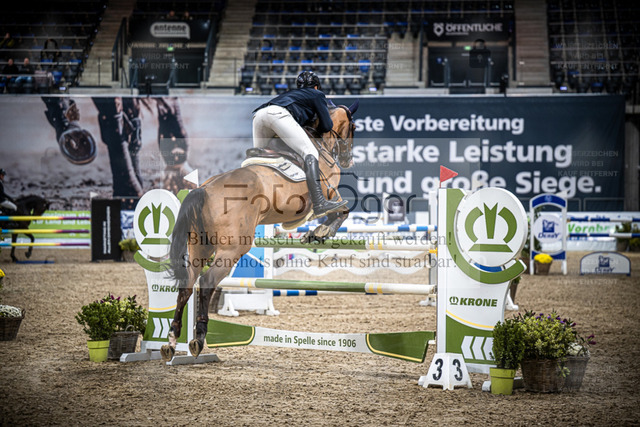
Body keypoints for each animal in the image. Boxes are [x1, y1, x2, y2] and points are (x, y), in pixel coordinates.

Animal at [160, 102, 358, 360]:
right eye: (353, 128)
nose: (347, 161)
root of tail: (203, 189)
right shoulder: (330, 191)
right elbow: (341, 211)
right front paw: (321, 232)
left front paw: (317, 232)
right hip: (232, 249)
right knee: (207, 281)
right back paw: (198, 339)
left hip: (199, 247)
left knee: (187, 285)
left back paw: (172, 342)